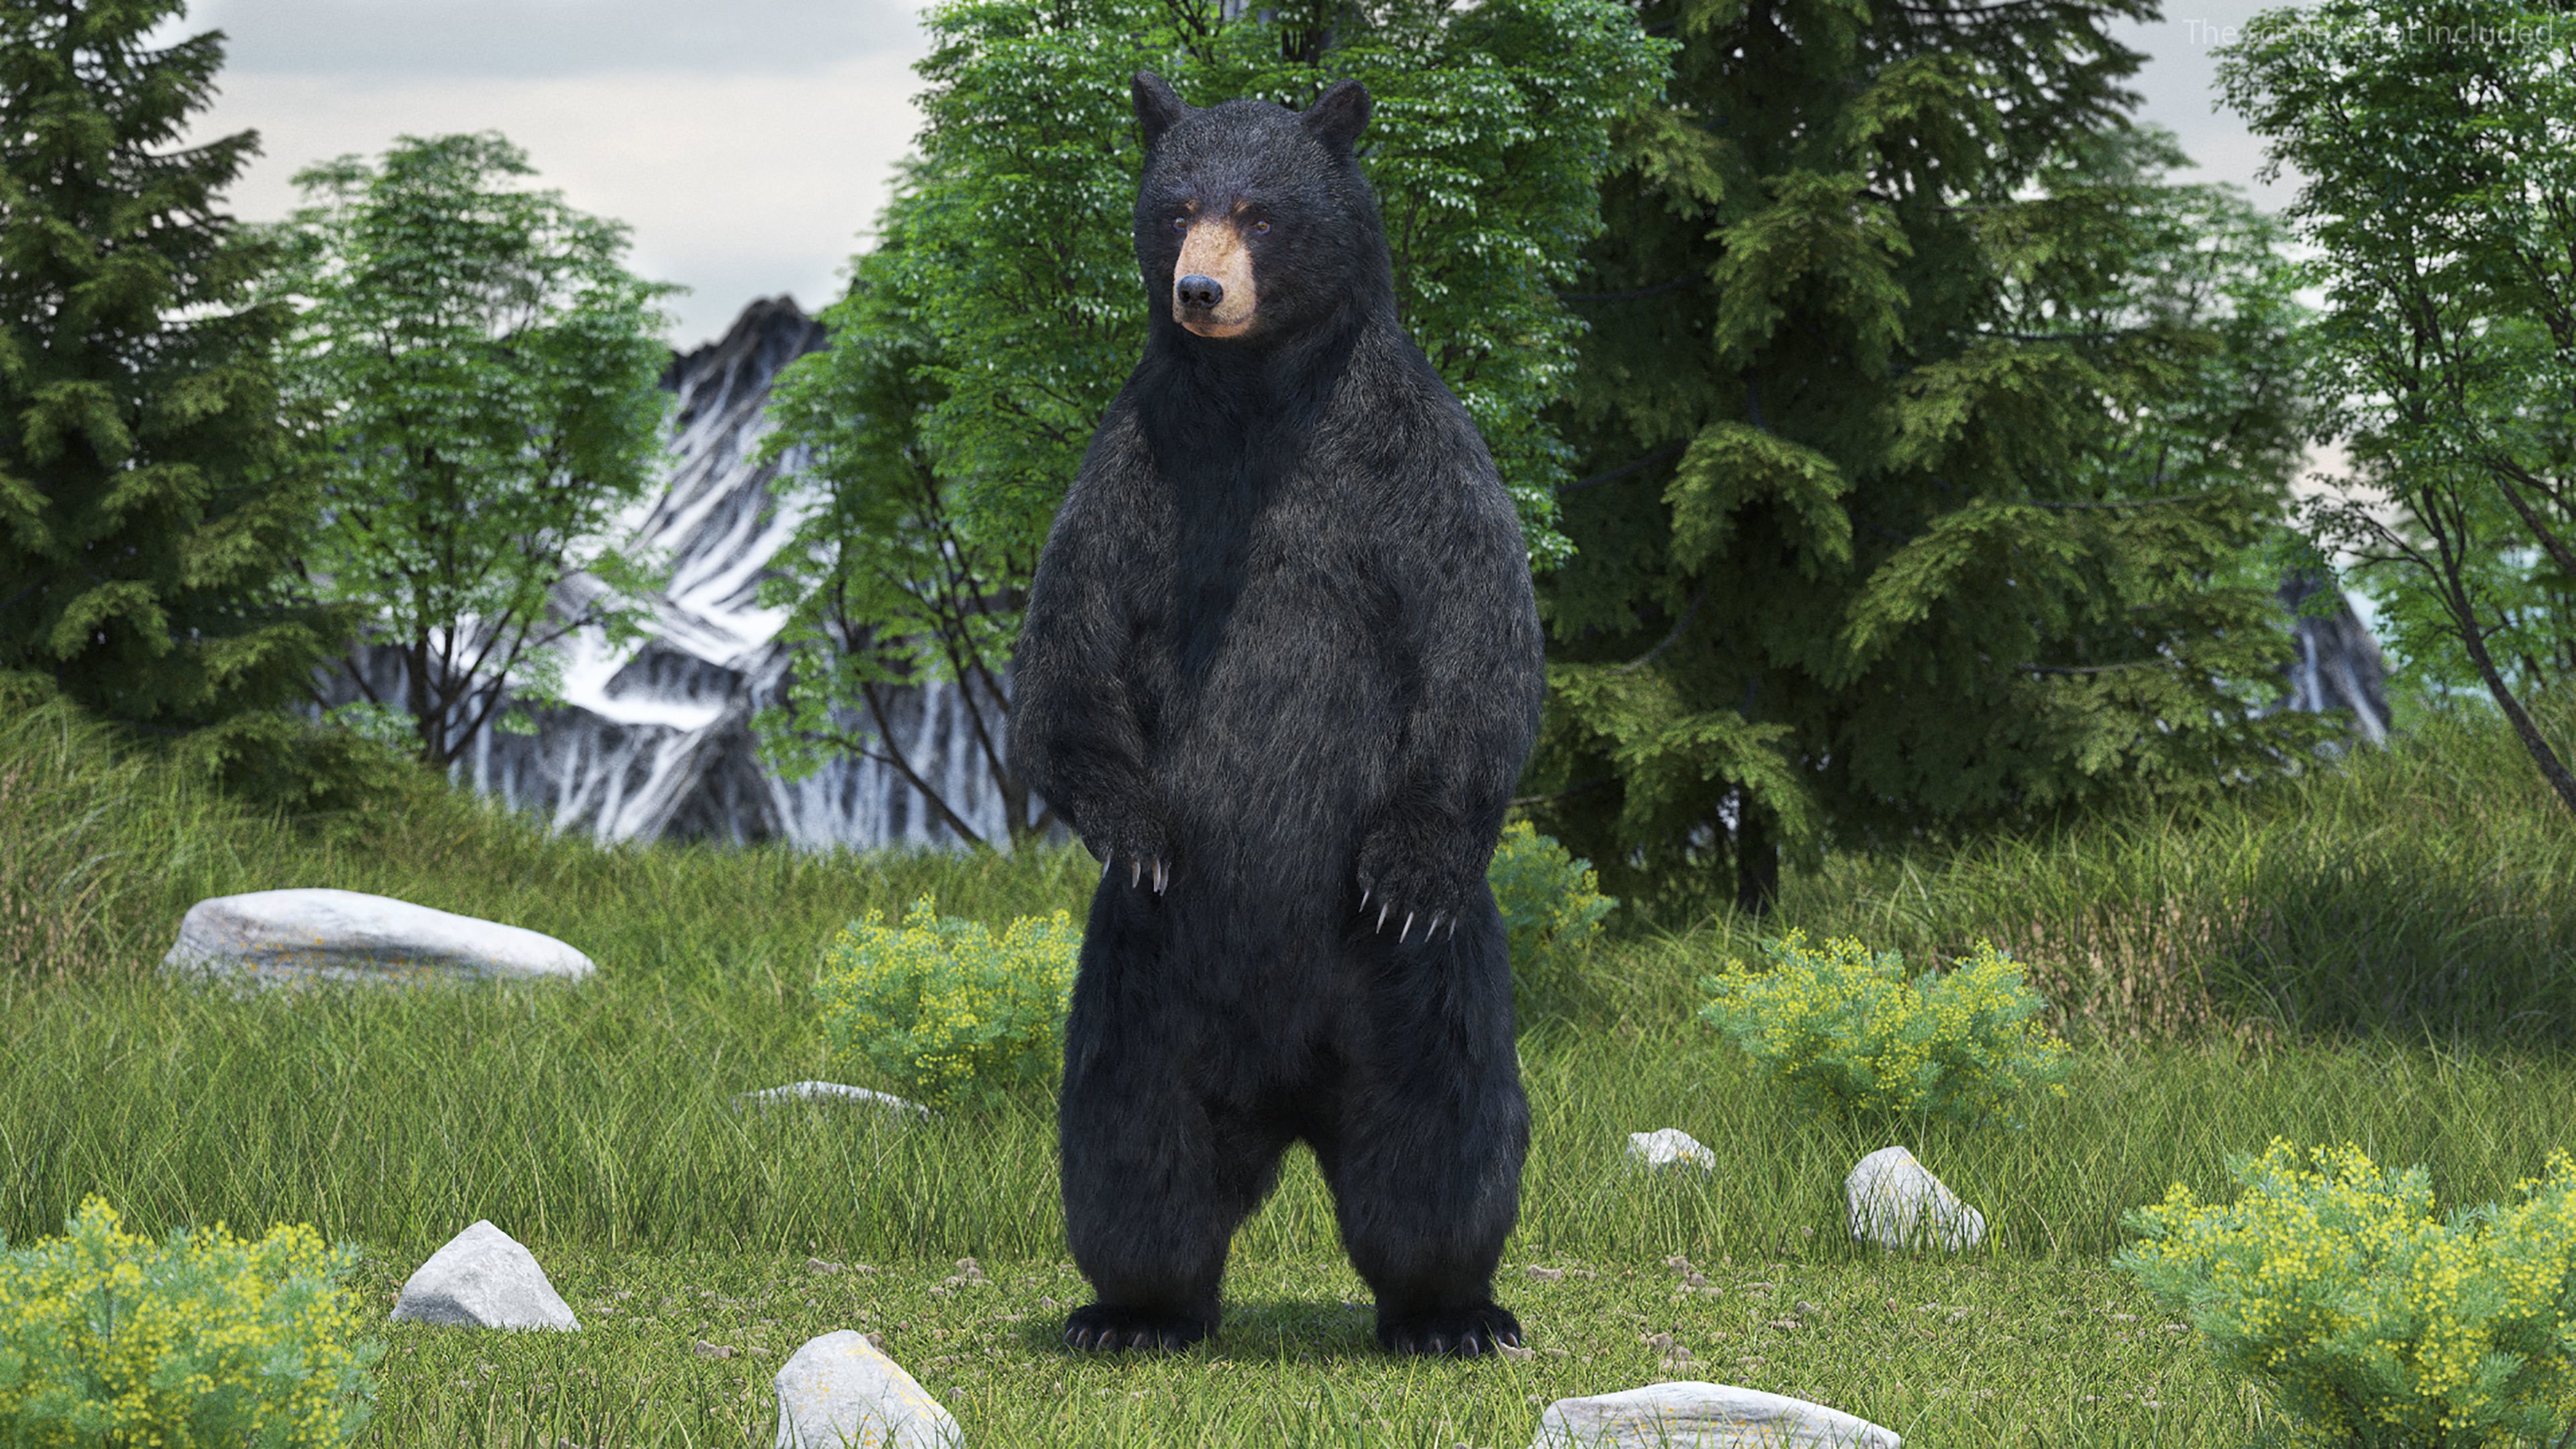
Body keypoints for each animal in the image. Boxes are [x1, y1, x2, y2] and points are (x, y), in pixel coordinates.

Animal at [1005, 70, 1547, 1358]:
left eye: (1259, 211)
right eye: (1178, 207)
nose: (1201, 291)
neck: (1259, 400)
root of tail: (1294, 1096)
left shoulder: (1415, 460)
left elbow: (1481, 648)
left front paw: (1404, 874)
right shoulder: (1139, 464)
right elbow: (1067, 656)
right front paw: (1141, 834)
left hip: (1420, 995)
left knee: (1443, 1138)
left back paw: (1452, 1313)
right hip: (1145, 986)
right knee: (1132, 1144)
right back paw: (1135, 1311)